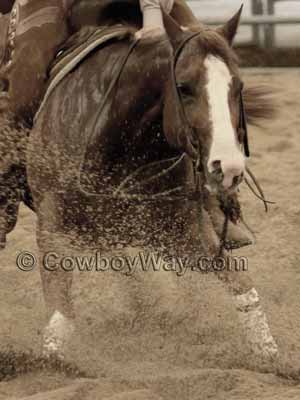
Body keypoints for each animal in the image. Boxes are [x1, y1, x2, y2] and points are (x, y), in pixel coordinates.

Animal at [27, 8, 280, 360]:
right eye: (184, 87)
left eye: (238, 85)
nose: (228, 168)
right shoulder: (51, 222)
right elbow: (60, 308)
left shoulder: (178, 234)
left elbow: (241, 284)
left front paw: (269, 353)